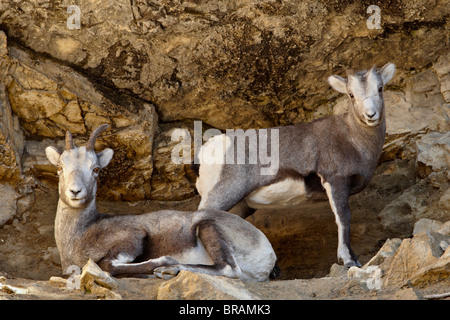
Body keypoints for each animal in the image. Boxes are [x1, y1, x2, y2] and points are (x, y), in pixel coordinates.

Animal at [46, 124, 278, 282]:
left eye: (95, 169)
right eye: (59, 167)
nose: (75, 191)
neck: (82, 233)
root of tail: (267, 253)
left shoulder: (134, 237)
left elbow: (107, 265)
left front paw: (161, 262)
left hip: (207, 227)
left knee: (228, 268)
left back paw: (168, 269)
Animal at [195, 62, 396, 268]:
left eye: (380, 88)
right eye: (351, 94)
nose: (371, 115)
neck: (353, 138)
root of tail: (206, 151)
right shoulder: (336, 181)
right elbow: (343, 217)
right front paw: (349, 260)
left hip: (238, 205)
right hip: (223, 194)